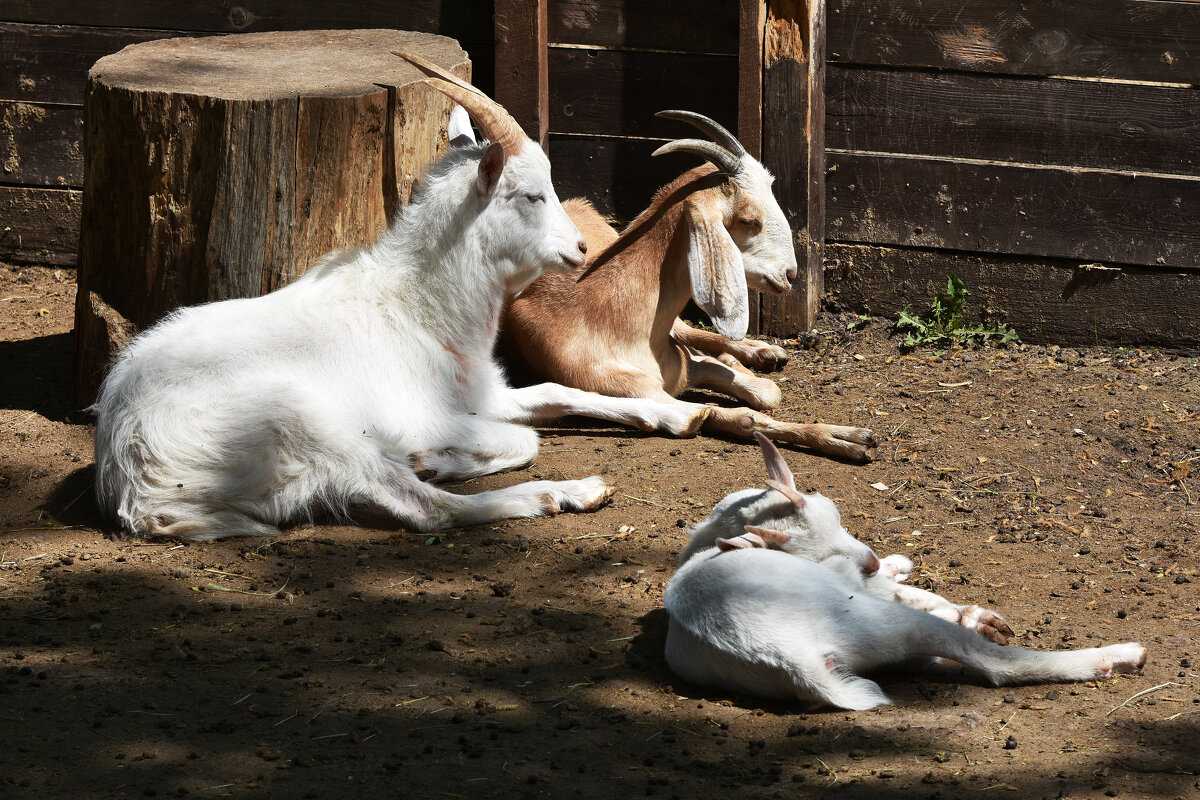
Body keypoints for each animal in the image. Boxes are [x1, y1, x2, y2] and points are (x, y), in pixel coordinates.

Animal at [98, 54, 710, 544]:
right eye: (531, 194)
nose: (581, 248)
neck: (417, 306)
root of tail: (136, 481)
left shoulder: (481, 393)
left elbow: (556, 394)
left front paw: (681, 415)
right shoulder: (428, 411)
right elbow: (525, 438)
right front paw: (435, 458)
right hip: (303, 421)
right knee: (426, 510)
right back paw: (567, 492)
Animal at [496, 112, 883, 462]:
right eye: (749, 220)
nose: (789, 274)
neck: (608, 316)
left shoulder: (684, 365)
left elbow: (764, 391)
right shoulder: (641, 393)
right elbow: (745, 416)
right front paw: (846, 438)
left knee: (691, 332)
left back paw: (762, 351)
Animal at [667, 434, 1142, 710]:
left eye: (835, 513)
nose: (874, 560)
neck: (716, 535)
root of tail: (791, 658)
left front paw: (900, 565)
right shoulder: (849, 578)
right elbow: (909, 594)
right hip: (878, 621)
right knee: (993, 661)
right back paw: (1117, 655)